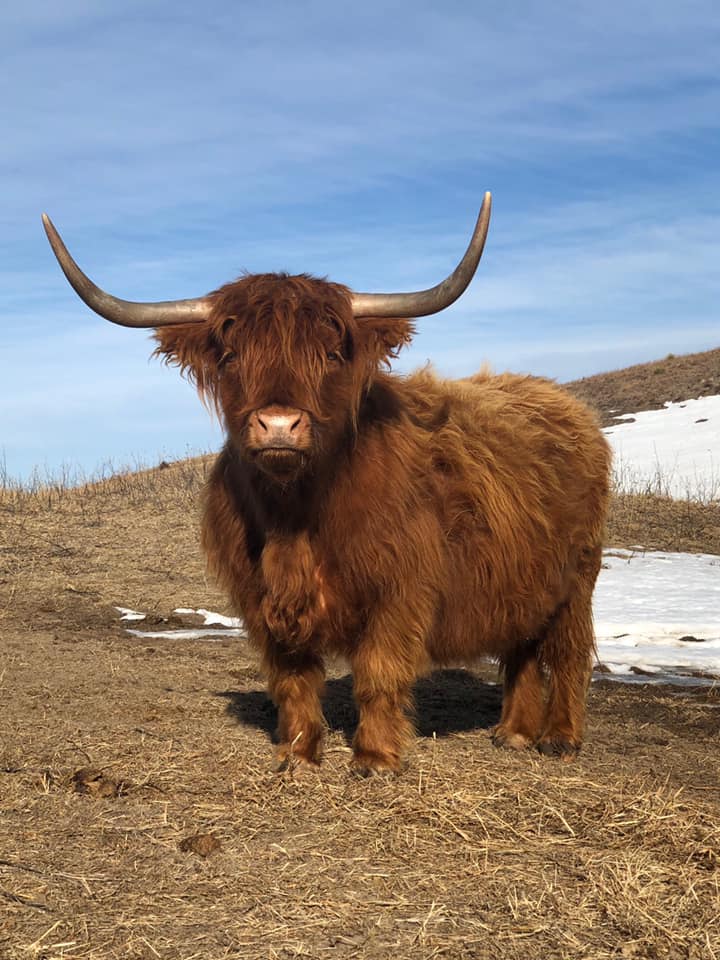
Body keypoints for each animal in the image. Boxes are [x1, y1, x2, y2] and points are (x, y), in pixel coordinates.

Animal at [43, 193, 611, 775]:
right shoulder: (262, 599)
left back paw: (559, 737)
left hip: (577, 578)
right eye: (231, 355)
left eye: (332, 354)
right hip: (525, 581)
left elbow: (378, 673)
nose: (278, 425)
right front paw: (297, 755)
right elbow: (292, 680)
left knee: (568, 653)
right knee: (522, 649)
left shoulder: (400, 588)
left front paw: (375, 758)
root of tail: (562, 402)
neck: (295, 517)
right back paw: (513, 732)